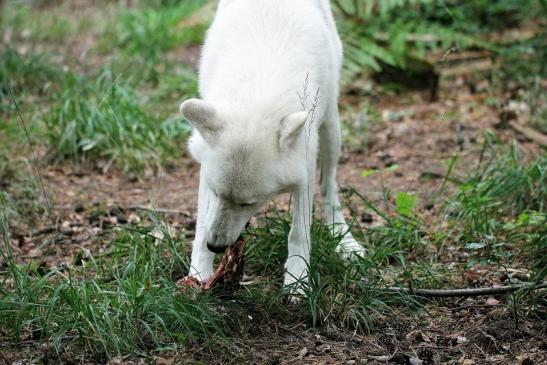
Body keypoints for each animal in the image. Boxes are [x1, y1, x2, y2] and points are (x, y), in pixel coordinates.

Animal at [180, 0, 366, 288]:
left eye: (248, 203)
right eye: (217, 193)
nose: (217, 247)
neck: (258, 89)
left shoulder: (305, 164)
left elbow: (299, 232)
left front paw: (297, 281)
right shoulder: (206, 175)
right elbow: (201, 227)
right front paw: (198, 273)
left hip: (331, 133)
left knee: (329, 187)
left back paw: (344, 240)